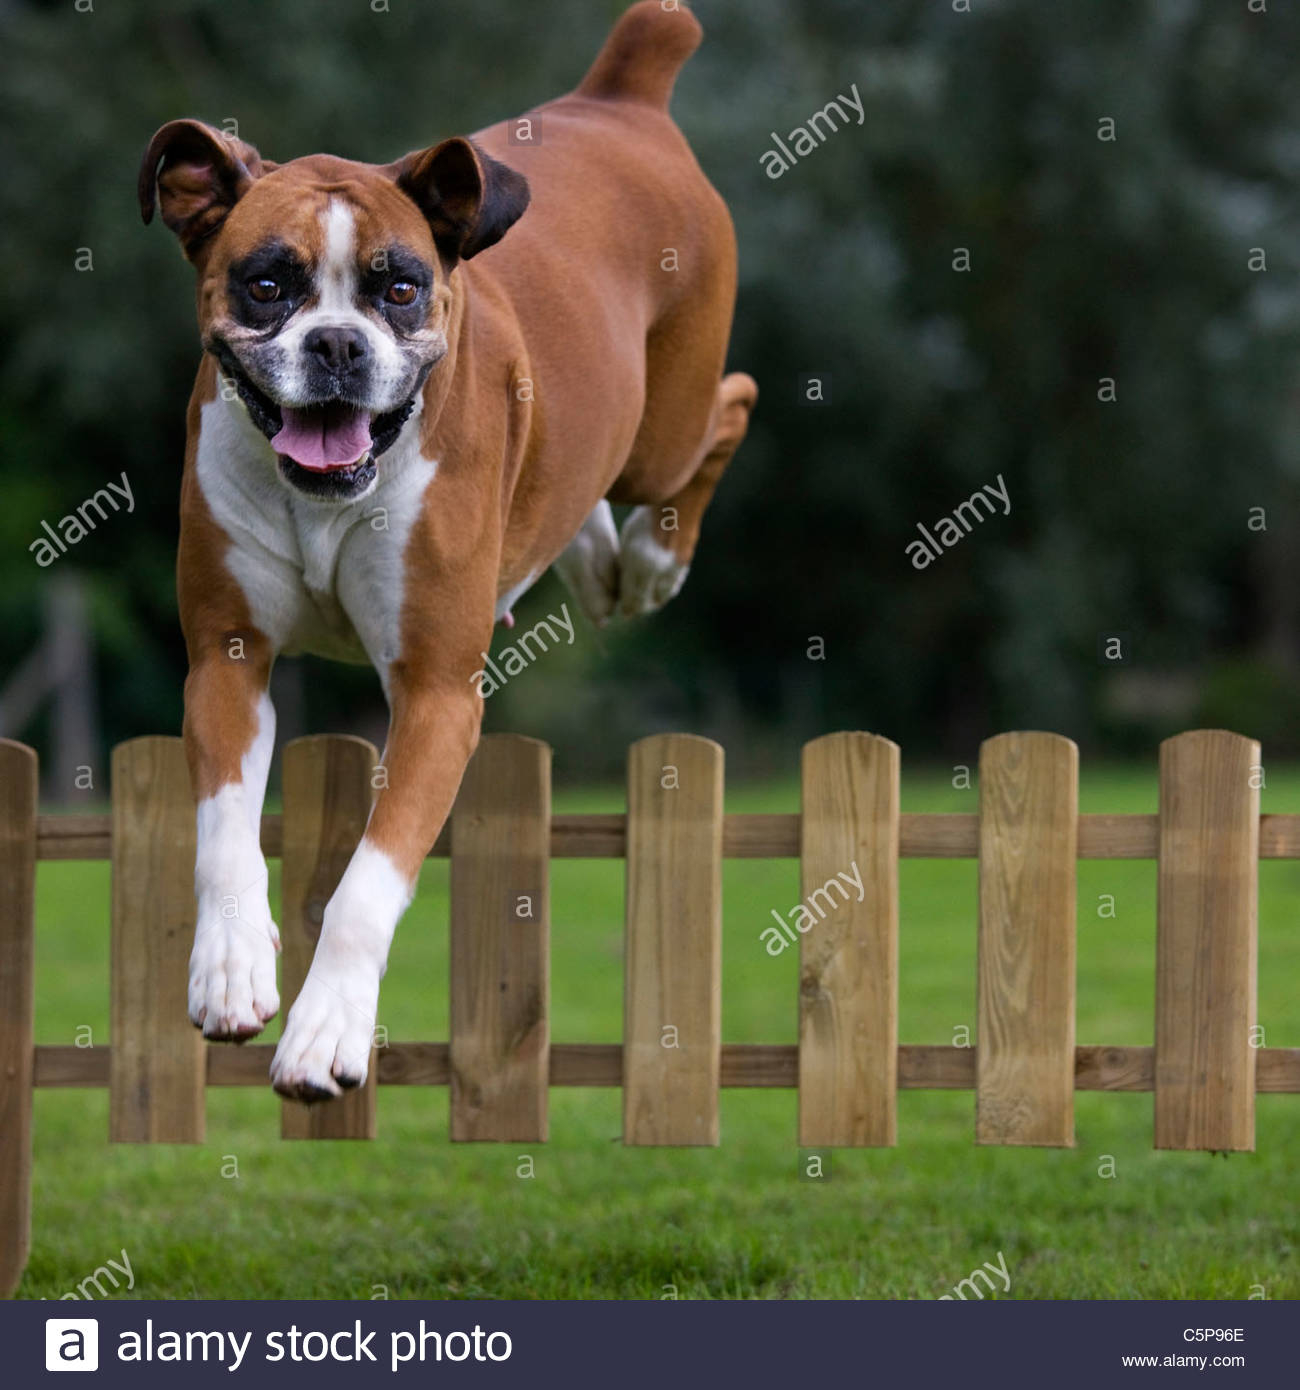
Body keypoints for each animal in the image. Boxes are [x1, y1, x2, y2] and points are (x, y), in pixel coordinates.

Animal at [136, 2, 756, 1106]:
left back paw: (651, 560)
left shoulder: (434, 697)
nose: (337, 344)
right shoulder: (227, 663)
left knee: (731, 405)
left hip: (669, 424)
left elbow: (366, 883)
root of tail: (619, 99)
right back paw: (589, 554)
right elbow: (223, 834)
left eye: (399, 289)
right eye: (265, 285)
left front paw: (325, 1032)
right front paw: (231, 967)